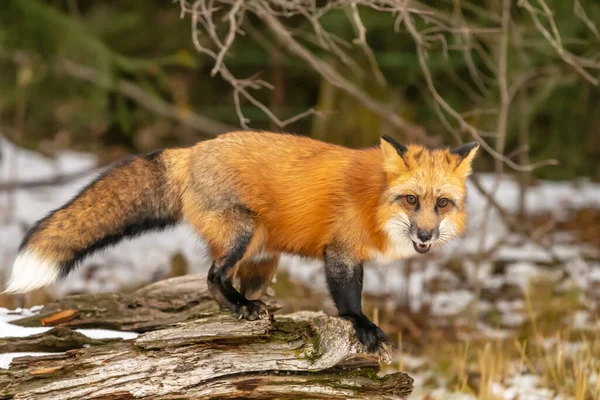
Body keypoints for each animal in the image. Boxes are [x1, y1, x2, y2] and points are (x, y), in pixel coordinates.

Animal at [2, 130, 476, 354]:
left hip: (263, 257)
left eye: (442, 204)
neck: (374, 200)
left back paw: (251, 309)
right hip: (242, 234)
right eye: (411, 200)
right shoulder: (340, 251)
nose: (425, 235)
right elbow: (348, 299)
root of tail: (191, 151)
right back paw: (238, 308)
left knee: (232, 283)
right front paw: (363, 328)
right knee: (212, 278)